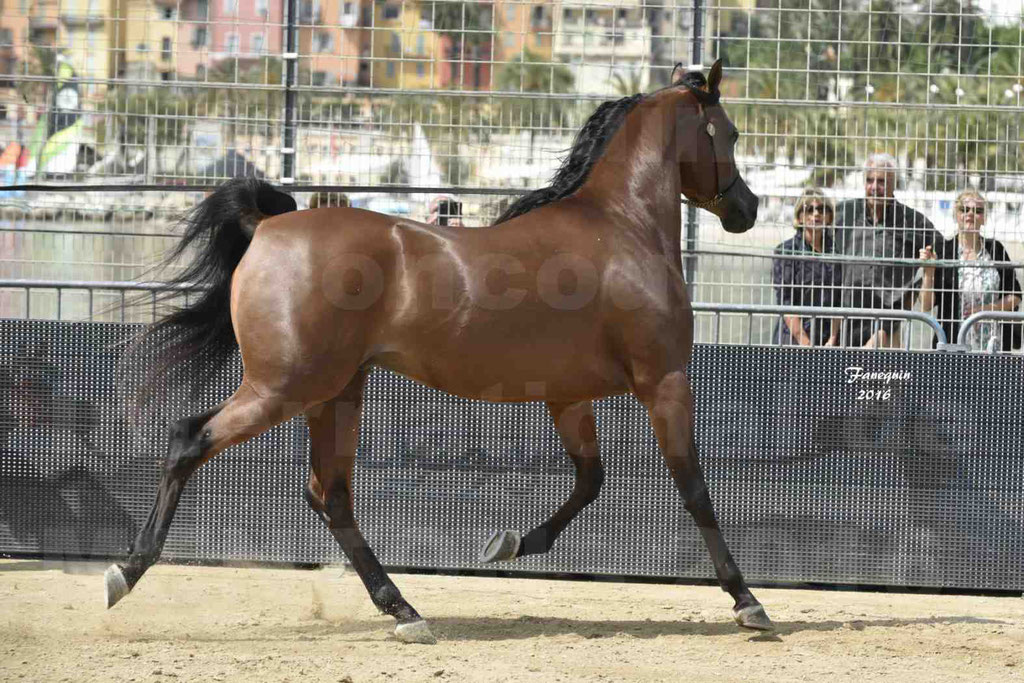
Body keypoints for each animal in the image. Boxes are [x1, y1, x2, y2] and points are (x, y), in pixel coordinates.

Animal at [108, 61, 770, 643]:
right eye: (731, 132)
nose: (748, 208)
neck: (621, 227)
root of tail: (270, 228)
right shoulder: (664, 380)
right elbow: (693, 489)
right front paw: (747, 602)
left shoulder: (568, 397)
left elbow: (589, 481)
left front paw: (509, 543)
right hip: (285, 387)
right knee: (191, 441)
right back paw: (125, 572)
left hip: (335, 392)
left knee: (331, 495)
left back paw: (404, 611)